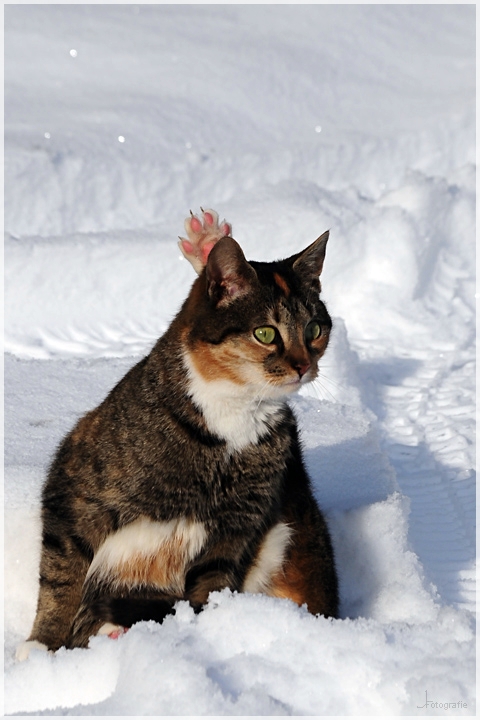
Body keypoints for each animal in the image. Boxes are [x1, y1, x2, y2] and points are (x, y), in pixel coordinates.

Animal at [16, 207, 340, 660]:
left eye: (314, 330)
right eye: (265, 333)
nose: (303, 366)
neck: (235, 412)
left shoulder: (234, 531)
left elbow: (207, 592)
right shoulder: (75, 487)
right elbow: (61, 574)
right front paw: (41, 648)